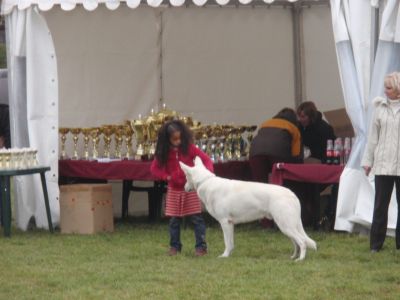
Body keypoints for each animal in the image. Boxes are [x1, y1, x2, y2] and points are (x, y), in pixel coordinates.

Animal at [180, 157, 318, 260]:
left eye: (186, 177)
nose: (184, 188)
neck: (205, 181)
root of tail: (292, 194)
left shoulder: (225, 222)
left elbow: (227, 242)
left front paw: (224, 256)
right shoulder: (230, 224)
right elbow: (231, 243)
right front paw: (229, 255)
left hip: (285, 225)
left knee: (302, 242)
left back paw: (300, 260)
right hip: (286, 226)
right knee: (296, 243)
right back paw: (294, 257)